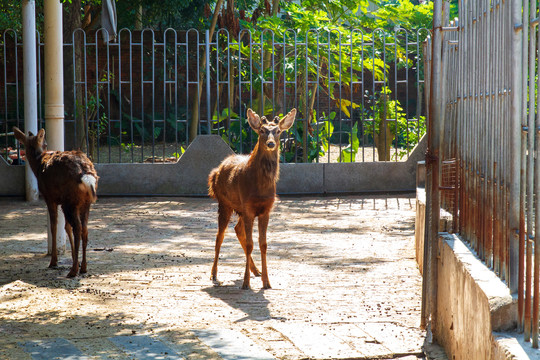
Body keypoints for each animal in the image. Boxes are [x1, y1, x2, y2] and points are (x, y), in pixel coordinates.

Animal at [14, 127, 99, 278]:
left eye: (26, 145)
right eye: (45, 143)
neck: (38, 164)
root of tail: (86, 175)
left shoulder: (49, 197)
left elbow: (54, 226)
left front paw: (53, 261)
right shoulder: (60, 201)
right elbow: (66, 227)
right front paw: (74, 258)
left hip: (70, 201)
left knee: (77, 227)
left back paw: (73, 270)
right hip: (84, 203)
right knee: (84, 228)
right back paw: (83, 267)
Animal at [208, 107, 296, 290]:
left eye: (278, 131)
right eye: (262, 130)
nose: (271, 143)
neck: (260, 188)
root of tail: (215, 173)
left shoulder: (265, 210)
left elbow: (263, 244)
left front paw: (267, 282)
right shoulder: (248, 208)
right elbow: (250, 244)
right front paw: (245, 283)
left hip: (240, 209)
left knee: (237, 229)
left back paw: (257, 271)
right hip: (224, 203)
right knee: (220, 236)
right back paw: (214, 275)